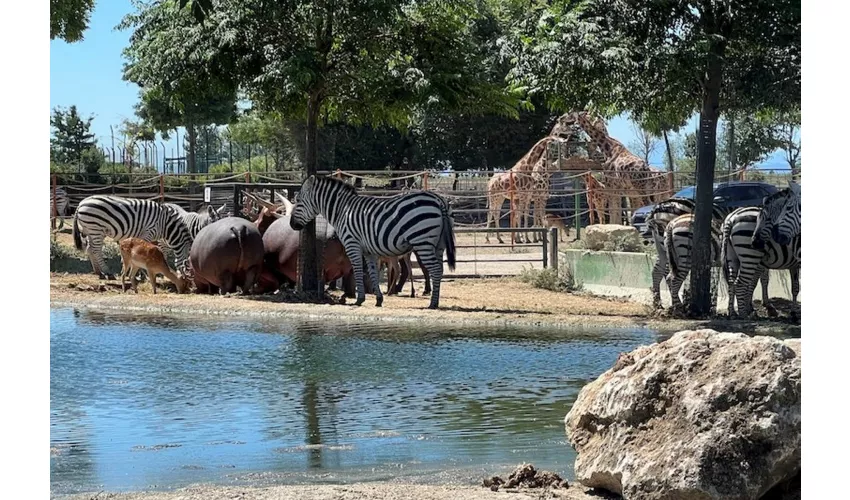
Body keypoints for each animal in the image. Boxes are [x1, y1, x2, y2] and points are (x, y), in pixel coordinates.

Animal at [288, 176, 454, 308]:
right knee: (439, 269)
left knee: (435, 270)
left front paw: (359, 299)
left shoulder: (352, 244)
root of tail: (438, 200)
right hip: (438, 245)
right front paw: (378, 299)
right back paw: (434, 300)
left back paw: (433, 303)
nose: (292, 225)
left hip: (423, 241)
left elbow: (357, 269)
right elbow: (373, 272)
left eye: (298, 201)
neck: (342, 210)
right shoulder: (369, 251)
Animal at [720, 183, 800, 316]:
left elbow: (793, 287)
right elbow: (796, 287)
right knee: (741, 284)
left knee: (732, 281)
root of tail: (731, 218)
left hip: (732, 256)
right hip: (749, 256)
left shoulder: (792, 264)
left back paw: (732, 312)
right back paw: (743, 314)